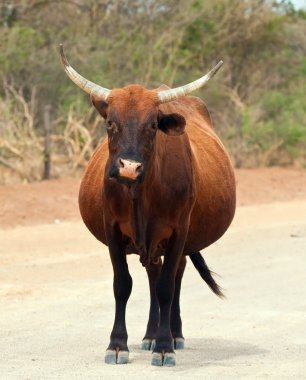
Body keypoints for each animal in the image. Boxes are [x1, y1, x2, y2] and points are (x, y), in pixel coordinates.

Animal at [60, 43, 237, 366]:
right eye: (110, 122)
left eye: (153, 125)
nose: (129, 168)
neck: (139, 195)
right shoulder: (113, 230)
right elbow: (123, 284)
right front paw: (118, 345)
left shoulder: (178, 231)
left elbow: (167, 287)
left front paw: (165, 346)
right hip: (152, 244)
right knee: (154, 277)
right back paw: (149, 335)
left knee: (174, 276)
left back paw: (172, 334)